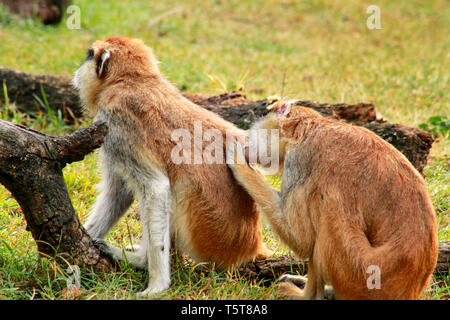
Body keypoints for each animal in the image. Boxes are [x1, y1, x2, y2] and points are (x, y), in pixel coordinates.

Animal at [72, 37, 272, 296]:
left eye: (89, 55)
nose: (77, 72)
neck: (133, 80)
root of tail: (252, 245)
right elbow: (119, 193)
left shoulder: (116, 125)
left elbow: (155, 188)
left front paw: (156, 284)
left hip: (207, 235)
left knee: (177, 187)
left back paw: (140, 260)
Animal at [227, 100, 438, 300]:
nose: (246, 145)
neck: (307, 128)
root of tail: (407, 290)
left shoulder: (300, 159)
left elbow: (302, 240)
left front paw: (236, 158)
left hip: (358, 272)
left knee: (326, 206)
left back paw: (307, 296)